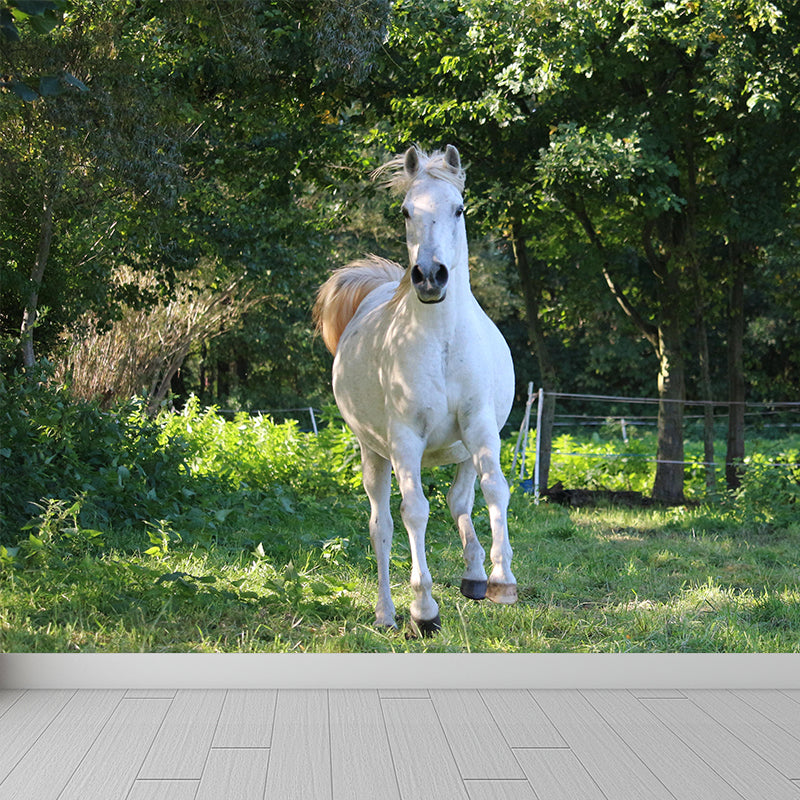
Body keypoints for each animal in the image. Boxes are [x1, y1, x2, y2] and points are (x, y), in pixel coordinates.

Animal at [313, 145, 517, 635]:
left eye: (459, 208)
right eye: (406, 211)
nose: (429, 276)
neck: (441, 341)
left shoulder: (480, 426)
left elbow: (494, 489)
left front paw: (502, 579)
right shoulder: (406, 440)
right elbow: (415, 512)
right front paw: (423, 610)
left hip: (460, 450)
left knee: (461, 500)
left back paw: (475, 575)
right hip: (374, 454)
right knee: (383, 526)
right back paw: (387, 613)